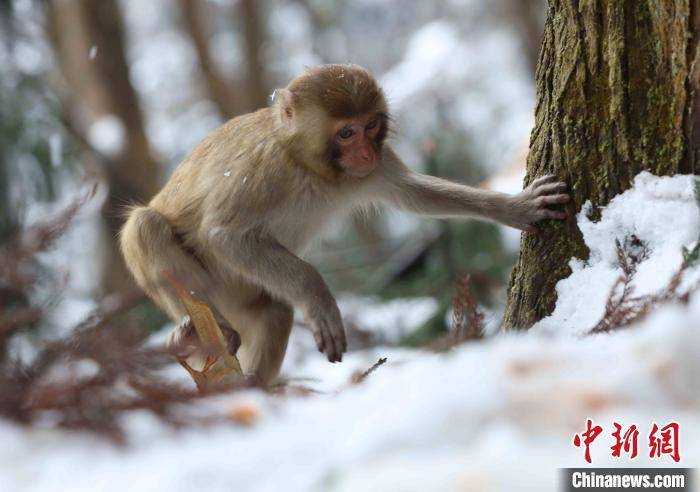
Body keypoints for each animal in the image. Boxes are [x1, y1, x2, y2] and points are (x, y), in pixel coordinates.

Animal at [120, 63, 568, 384]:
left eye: (371, 126)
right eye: (347, 133)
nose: (366, 154)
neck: (309, 166)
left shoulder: (370, 172)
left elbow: (413, 194)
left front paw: (514, 208)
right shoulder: (261, 173)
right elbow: (224, 234)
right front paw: (319, 298)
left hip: (243, 294)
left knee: (275, 312)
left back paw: (248, 385)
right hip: (210, 293)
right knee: (146, 225)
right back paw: (192, 335)